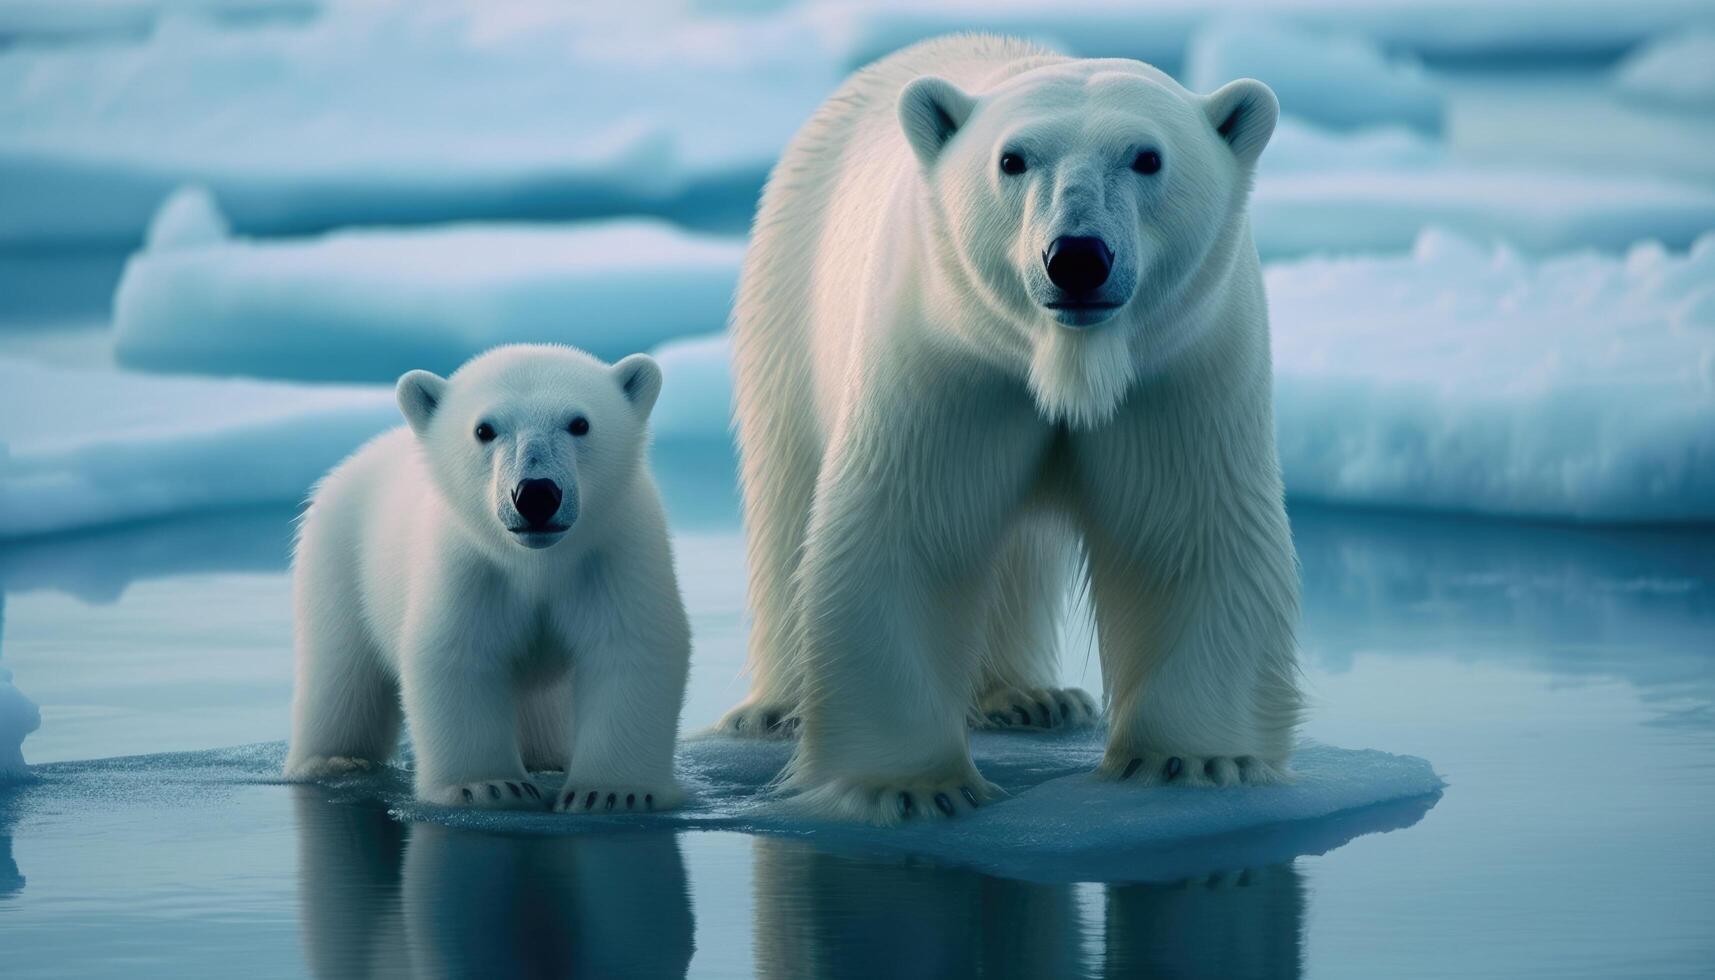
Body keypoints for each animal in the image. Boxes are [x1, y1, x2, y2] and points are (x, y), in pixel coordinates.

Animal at [720, 34, 1296, 823]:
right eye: (1013, 159)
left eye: (1147, 157)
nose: (1077, 256)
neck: (1066, 360)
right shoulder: (945, 357)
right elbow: (908, 529)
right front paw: (909, 786)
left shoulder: (1179, 369)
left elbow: (1187, 531)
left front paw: (1195, 760)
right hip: (788, 298)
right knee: (786, 491)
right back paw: (775, 709)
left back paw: (1031, 697)